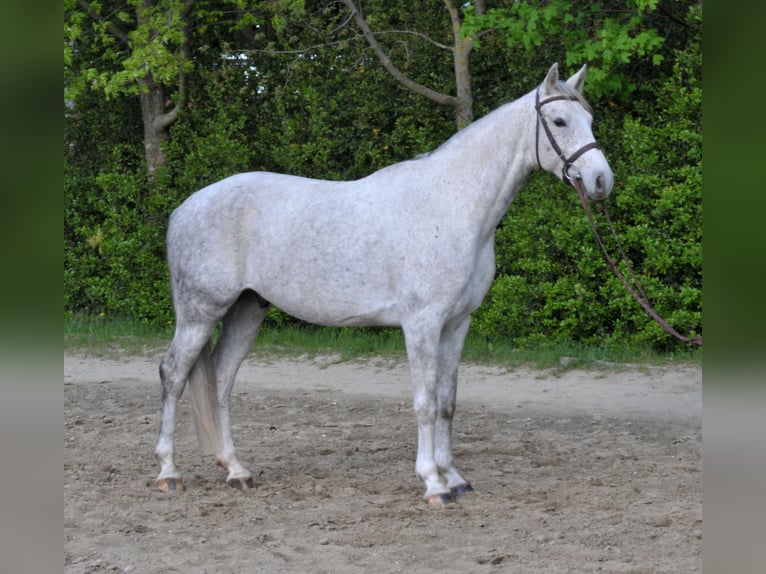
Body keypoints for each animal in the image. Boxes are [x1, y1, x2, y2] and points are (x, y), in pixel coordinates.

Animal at [154, 63, 613, 508]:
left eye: (590, 119)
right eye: (559, 120)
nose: (601, 181)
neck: (451, 205)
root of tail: (184, 208)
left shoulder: (457, 323)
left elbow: (447, 403)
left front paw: (455, 478)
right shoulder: (422, 323)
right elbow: (425, 403)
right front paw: (433, 484)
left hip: (247, 308)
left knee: (221, 378)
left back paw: (236, 470)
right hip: (200, 313)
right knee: (174, 374)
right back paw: (169, 474)